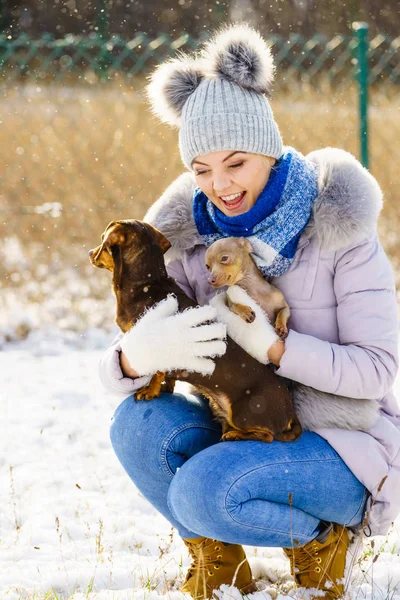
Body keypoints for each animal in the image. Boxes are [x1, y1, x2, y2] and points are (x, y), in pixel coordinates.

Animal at [87, 218, 300, 442]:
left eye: (103, 241)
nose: (90, 253)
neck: (147, 283)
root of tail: (290, 412)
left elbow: (157, 371)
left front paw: (150, 391)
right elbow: (167, 374)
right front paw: (166, 388)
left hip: (244, 413)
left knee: (267, 436)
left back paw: (233, 435)